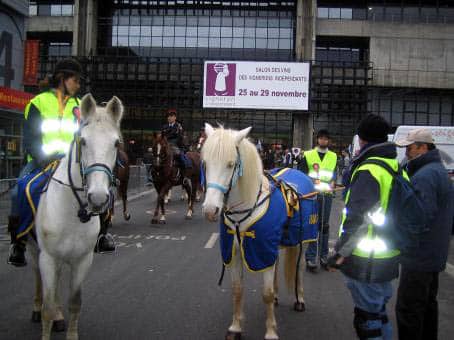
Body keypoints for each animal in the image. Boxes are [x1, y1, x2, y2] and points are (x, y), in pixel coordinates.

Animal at [32, 93, 123, 340]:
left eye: (116, 143)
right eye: (83, 141)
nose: (98, 198)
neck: (73, 213)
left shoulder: (82, 260)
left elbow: (75, 303)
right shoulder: (48, 258)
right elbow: (47, 308)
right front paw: (46, 318)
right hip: (36, 252)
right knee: (38, 279)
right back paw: (37, 309)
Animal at [202, 124, 312, 340]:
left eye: (230, 164)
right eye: (205, 163)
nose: (210, 210)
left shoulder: (261, 251)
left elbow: (266, 294)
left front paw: (270, 332)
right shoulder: (235, 251)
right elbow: (237, 290)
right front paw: (235, 328)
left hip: (302, 241)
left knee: (299, 267)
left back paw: (300, 299)